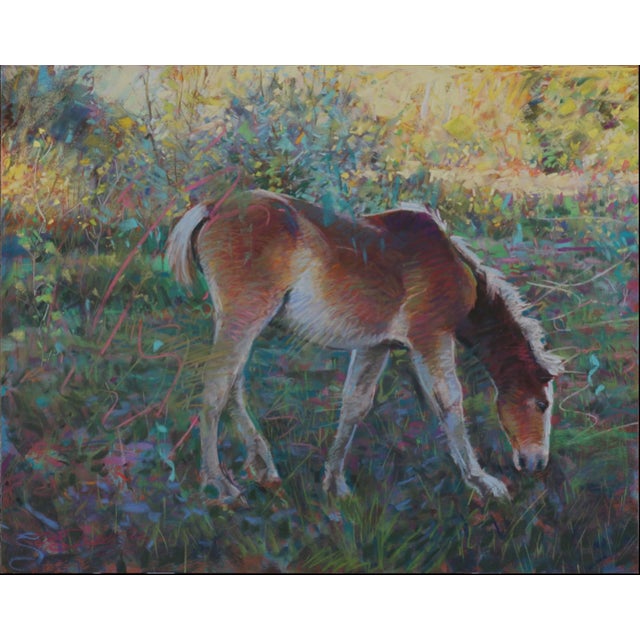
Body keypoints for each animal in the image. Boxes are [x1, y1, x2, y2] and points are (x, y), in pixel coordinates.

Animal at [165, 189, 563, 505]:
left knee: (233, 385)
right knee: (217, 388)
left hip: (238, 321)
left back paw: (262, 467)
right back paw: (220, 484)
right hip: (244, 317)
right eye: (541, 404)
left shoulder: (376, 347)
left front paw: (334, 482)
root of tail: (214, 207)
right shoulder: (430, 339)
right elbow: (449, 401)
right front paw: (481, 481)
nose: (536, 463)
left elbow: (355, 405)